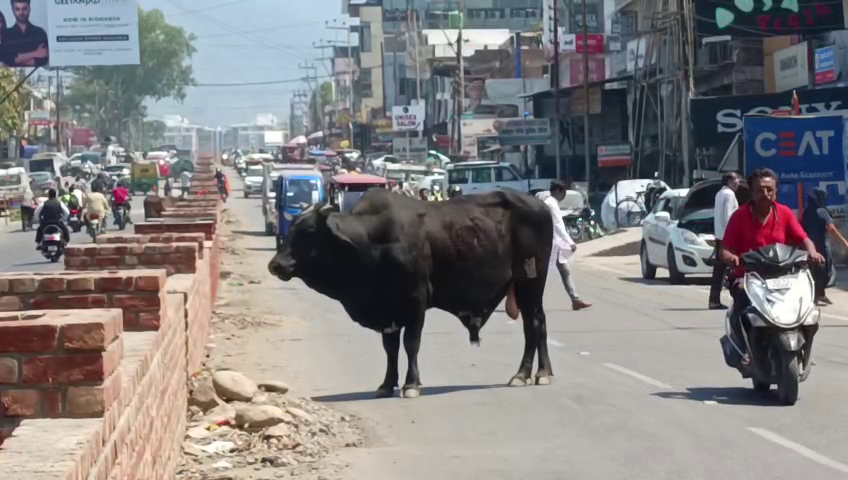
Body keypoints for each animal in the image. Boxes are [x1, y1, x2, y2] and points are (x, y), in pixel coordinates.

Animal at [268, 188, 552, 398]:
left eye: (308, 231)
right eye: (291, 228)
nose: (275, 265)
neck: (370, 242)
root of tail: (539, 204)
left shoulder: (416, 299)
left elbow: (411, 343)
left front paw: (411, 384)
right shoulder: (387, 310)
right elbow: (390, 347)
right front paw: (386, 384)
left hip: (530, 281)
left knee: (532, 324)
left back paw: (522, 374)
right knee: (541, 322)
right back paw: (543, 373)